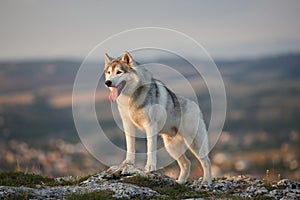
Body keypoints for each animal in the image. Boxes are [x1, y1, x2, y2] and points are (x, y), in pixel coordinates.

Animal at [104, 51, 212, 184]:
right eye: (109, 72)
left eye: (119, 72)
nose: (107, 82)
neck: (130, 98)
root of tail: (196, 106)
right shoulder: (128, 125)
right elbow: (130, 147)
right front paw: (128, 163)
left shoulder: (150, 126)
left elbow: (150, 149)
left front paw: (150, 167)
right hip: (172, 147)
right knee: (186, 163)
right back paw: (179, 183)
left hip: (194, 144)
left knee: (206, 161)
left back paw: (206, 182)